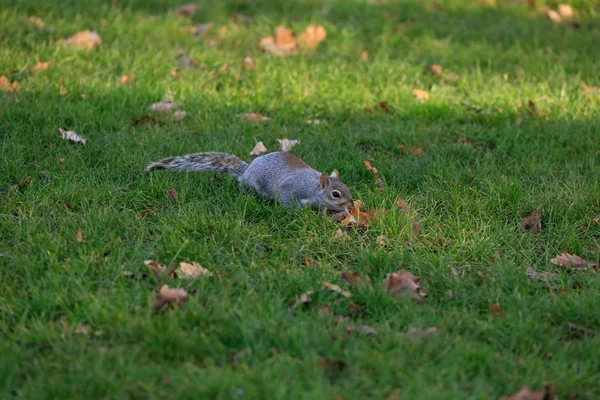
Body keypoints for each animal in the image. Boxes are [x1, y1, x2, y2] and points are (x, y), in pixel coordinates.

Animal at [144, 151, 352, 212]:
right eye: (335, 193)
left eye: (348, 189)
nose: (350, 204)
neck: (314, 187)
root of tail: (247, 170)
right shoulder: (293, 188)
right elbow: (288, 199)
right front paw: (298, 212)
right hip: (252, 184)